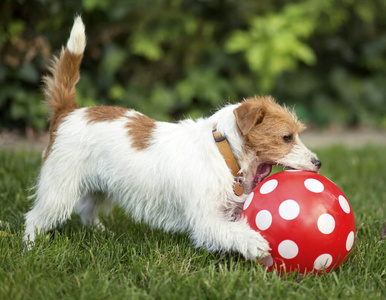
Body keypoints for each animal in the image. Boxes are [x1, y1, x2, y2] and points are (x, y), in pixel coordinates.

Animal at [22, 17, 322, 260]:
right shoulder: (206, 219)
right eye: (287, 137)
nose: (318, 163)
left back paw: (101, 233)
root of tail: (68, 111)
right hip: (60, 187)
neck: (224, 151)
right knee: (35, 217)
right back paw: (31, 248)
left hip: (100, 185)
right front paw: (255, 242)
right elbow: (230, 231)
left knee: (86, 209)